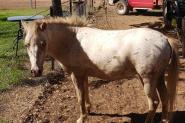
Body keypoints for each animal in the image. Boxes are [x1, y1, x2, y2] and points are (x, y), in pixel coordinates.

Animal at [22, 16, 178, 123]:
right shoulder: (83, 75)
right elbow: (86, 93)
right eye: (26, 44)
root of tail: (165, 39)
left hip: (147, 79)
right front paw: (88, 110)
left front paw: (82, 118)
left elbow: (79, 97)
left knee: (154, 102)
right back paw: (164, 120)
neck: (71, 40)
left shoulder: (76, 75)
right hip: (158, 77)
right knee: (165, 98)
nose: (35, 71)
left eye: (43, 43)